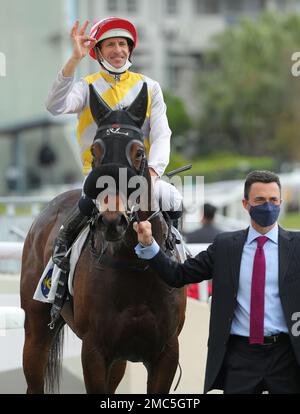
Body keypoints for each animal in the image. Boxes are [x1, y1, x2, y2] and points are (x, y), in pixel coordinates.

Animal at [19, 81, 186, 394]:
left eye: (138, 153)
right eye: (95, 151)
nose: (112, 220)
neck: (135, 267)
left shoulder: (166, 352)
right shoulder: (94, 350)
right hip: (35, 328)